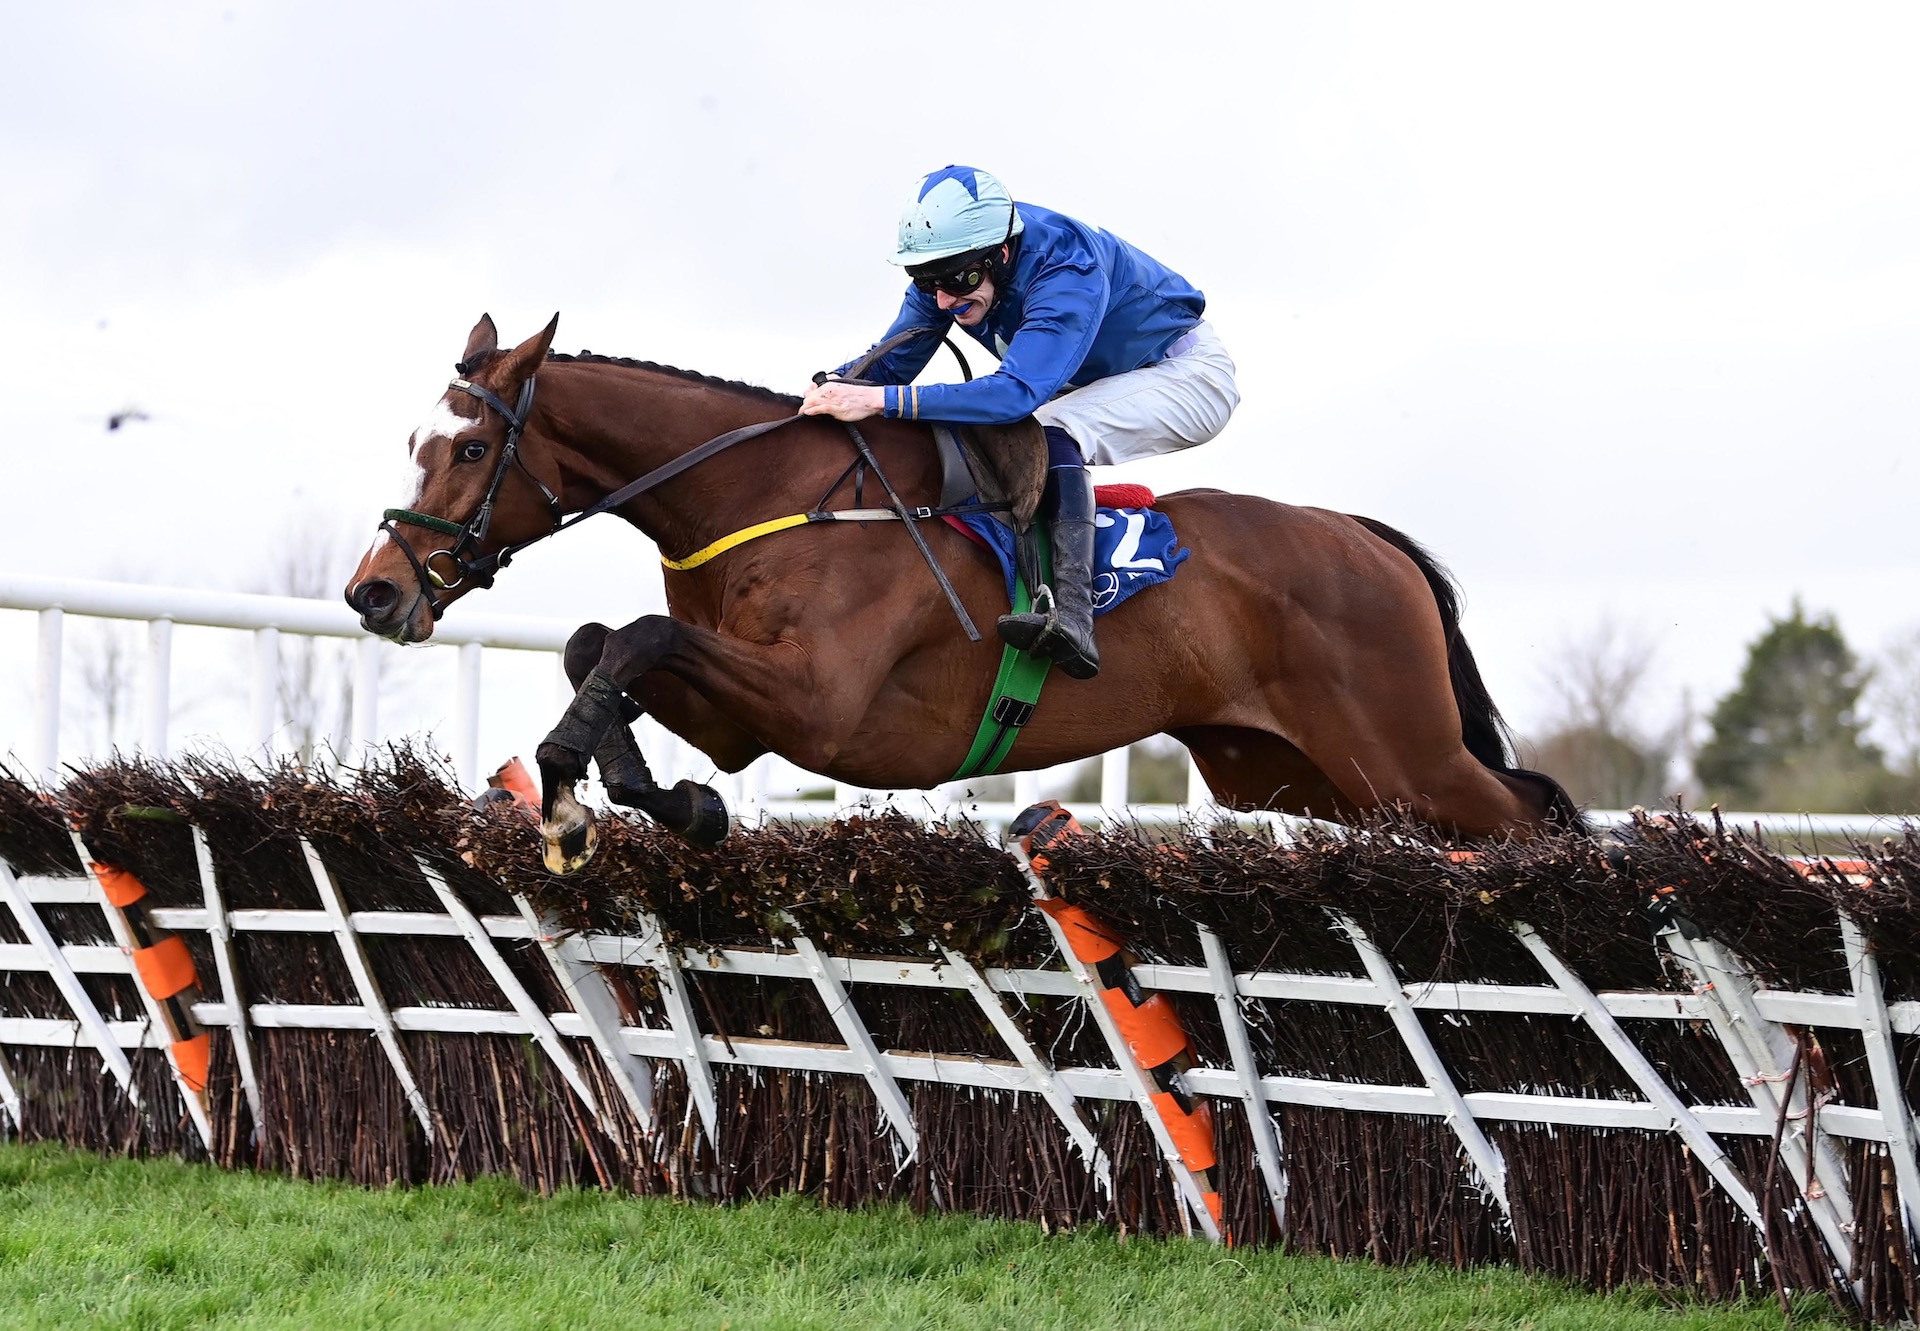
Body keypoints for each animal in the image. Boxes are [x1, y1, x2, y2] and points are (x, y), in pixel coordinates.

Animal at [341, 314, 1574, 871]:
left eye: (466, 451)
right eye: (410, 442)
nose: (374, 593)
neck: (771, 495)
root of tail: (1368, 540)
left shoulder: (819, 703)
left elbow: (633, 635)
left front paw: (566, 791)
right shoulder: (746, 716)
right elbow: (601, 642)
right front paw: (657, 793)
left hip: (1399, 754)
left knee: (1540, 811)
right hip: (1297, 772)